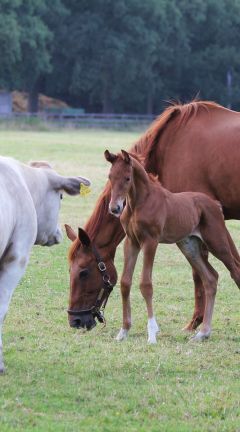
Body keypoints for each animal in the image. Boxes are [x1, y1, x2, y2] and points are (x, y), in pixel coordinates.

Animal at [104, 150, 240, 342]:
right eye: (110, 177)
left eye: (127, 178)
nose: (114, 208)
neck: (139, 203)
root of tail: (215, 204)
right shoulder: (132, 242)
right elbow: (125, 283)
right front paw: (123, 332)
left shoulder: (150, 241)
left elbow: (146, 284)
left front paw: (152, 334)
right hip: (189, 247)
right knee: (210, 278)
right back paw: (203, 333)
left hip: (217, 243)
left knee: (235, 272)